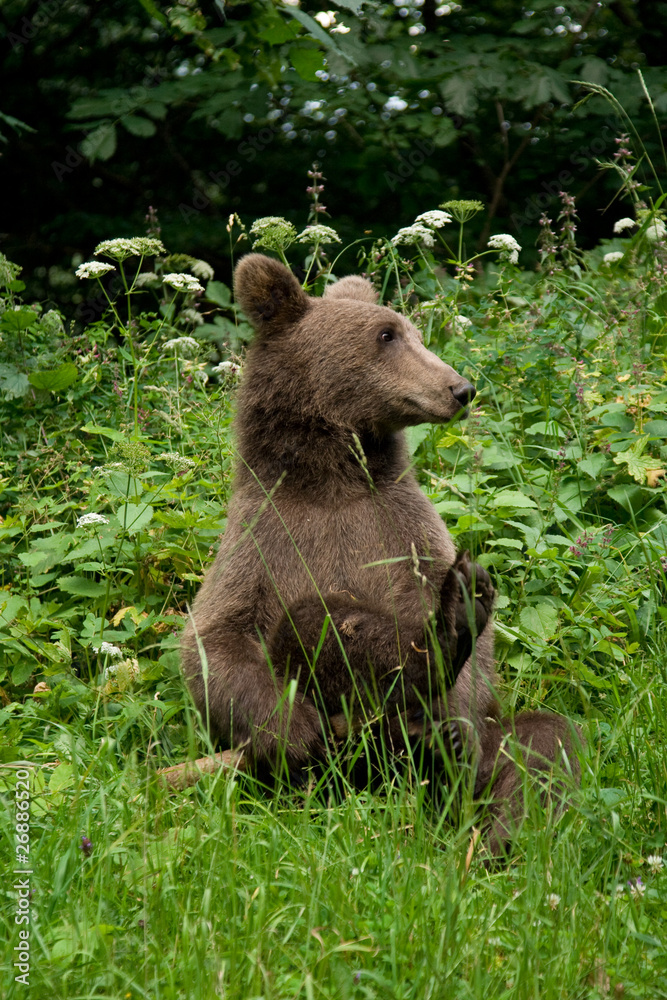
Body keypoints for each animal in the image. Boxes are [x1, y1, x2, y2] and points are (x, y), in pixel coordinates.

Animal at [181, 253, 582, 856]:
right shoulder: (264, 535)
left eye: (411, 331)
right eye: (387, 335)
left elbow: (477, 661)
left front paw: (464, 627)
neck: (332, 481)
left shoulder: (403, 526)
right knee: (315, 621)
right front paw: (291, 730)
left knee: (542, 743)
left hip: (488, 750)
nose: (460, 388)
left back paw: (492, 821)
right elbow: (215, 639)